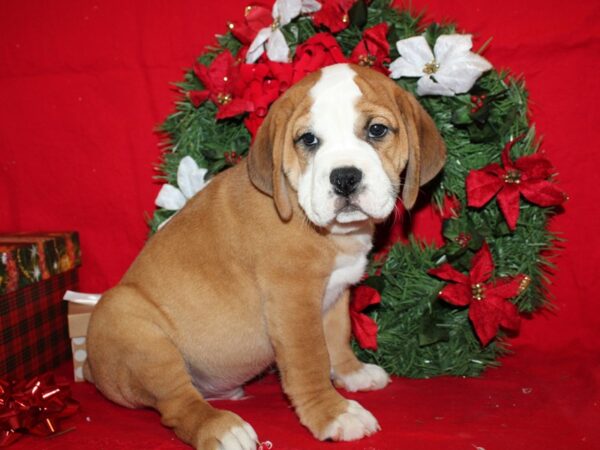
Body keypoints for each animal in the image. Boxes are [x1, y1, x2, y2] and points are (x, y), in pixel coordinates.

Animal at [84, 63, 446, 450]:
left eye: (377, 129)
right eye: (308, 140)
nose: (345, 178)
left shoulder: (335, 295)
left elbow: (337, 338)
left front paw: (352, 372)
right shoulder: (294, 301)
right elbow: (311, 361)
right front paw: (333, 413)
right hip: (136, 329)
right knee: (177, 404)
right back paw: (223, 429)